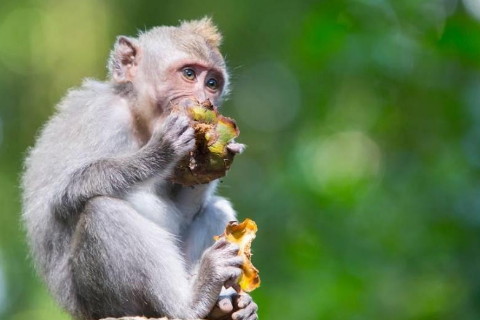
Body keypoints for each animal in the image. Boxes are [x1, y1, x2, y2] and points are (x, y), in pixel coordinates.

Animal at [21, 18, 258, 320]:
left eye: (212, 83)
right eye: (189, 74)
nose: (207, 99)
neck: (138, 119)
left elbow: (184, 213)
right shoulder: (103, 115)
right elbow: (63, 194)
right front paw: (161, 151)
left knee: (216, 208)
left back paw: (221, 304)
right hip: (100, 300)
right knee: (102, 211)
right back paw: (191, 302)